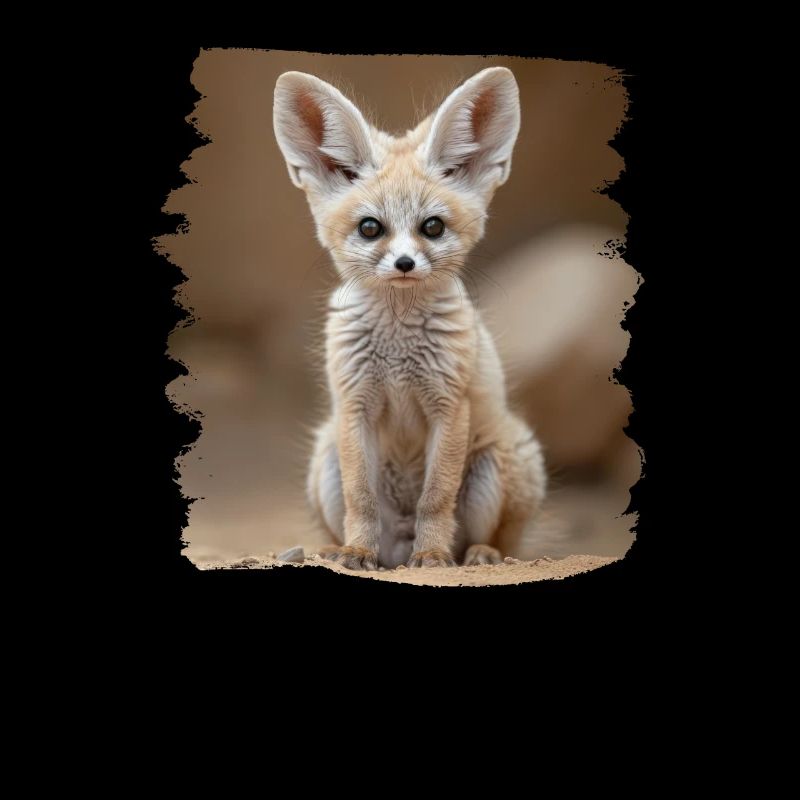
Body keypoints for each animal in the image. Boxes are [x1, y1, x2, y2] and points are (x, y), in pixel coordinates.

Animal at [273, 66, 546, 570]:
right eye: (370, 228)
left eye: (432, 227)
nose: (404, 264)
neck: (398, 349)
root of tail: (397, 547)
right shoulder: (355, 404)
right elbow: (361, 499)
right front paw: (357, 550)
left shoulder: (448, 405)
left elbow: (435, 497)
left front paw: (433, 554)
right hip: (324, 458)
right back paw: (339, 549)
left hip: (497, 463)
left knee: (501, 541)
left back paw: (476, 553)